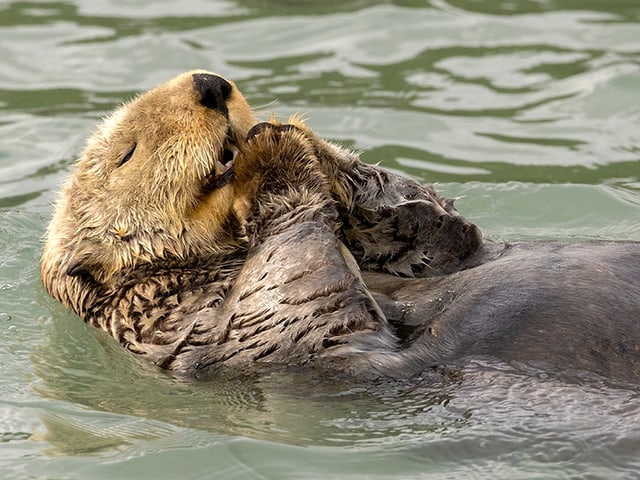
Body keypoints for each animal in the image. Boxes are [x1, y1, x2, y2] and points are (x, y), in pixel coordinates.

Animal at [41, 69, 640, 380]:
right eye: (126, 153)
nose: (209, 84)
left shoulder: (440, 247)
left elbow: (444, 232)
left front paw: (291, 133)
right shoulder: (179, 323)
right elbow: (297, 302)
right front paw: (273, 157)